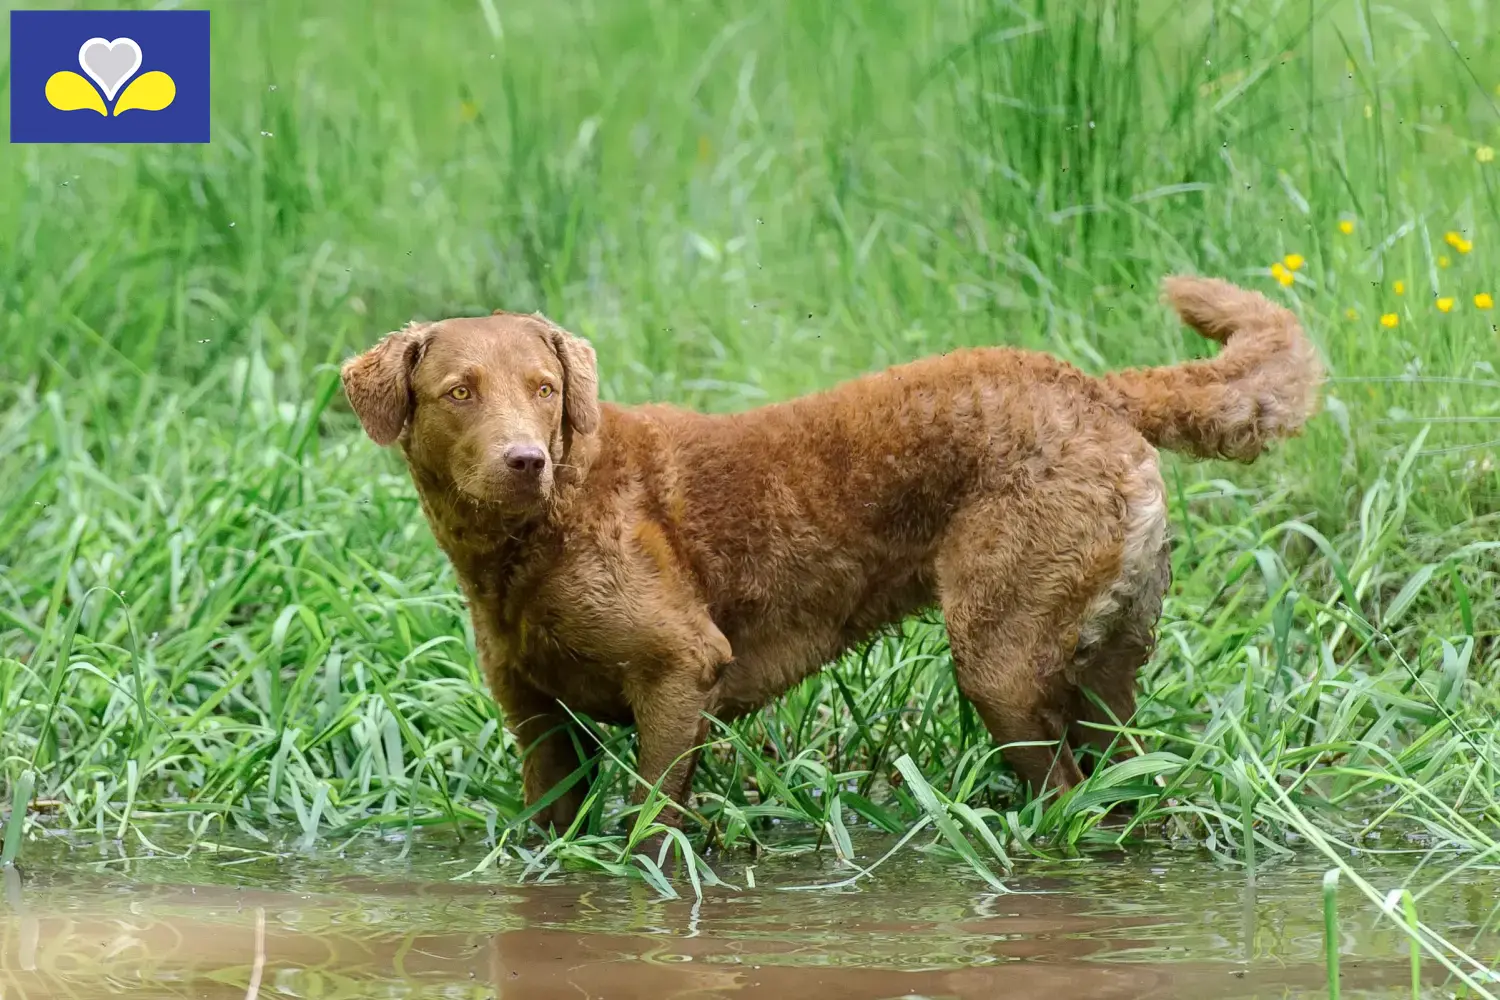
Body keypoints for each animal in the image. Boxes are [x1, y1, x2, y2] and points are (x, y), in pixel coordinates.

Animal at [343, 274, 1326, 827]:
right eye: (460, 392)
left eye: (544, 388)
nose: (526, 460)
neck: (528, 544)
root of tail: (1094, 386)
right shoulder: (536, 718)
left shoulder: (681, 668)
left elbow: (653, 825)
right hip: (1106, 662)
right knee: (1122, 776)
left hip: (1002, 657)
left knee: (1061, 786)